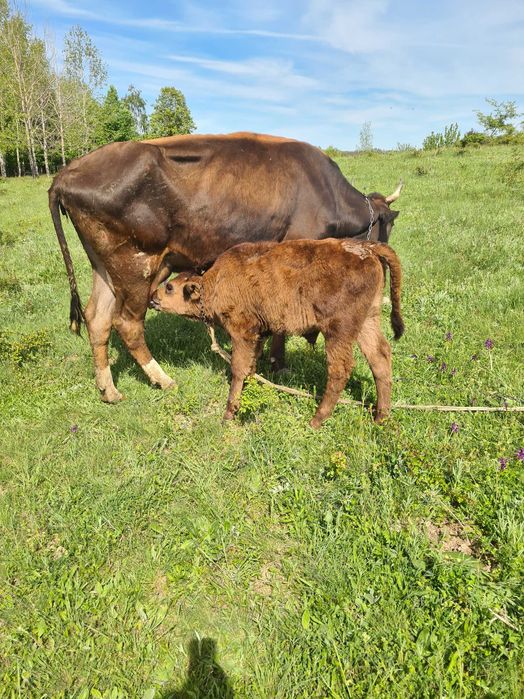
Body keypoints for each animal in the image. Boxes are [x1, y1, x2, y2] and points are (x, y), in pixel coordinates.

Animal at [48, 132, 402, 402]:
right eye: (388, 226)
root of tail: (66, 175)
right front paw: (278, 363)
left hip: (107, 266)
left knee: (97, 318)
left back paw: (108, 390)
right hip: (138, 264)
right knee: (127, 323)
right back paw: (163, 379)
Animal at [150, 238, 404, 427]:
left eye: (170, 287)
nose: (153, 297)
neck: (215, 283)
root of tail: (366, 248)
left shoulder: (241, 333)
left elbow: (238, 369)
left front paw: (229, 413)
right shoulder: (259, 334)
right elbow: (251, 366)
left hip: (338, 331)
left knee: (340, 369)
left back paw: (316, 420)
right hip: (367, 321)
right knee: (380, 357)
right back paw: (381, 417)